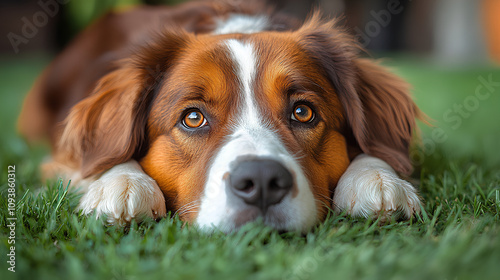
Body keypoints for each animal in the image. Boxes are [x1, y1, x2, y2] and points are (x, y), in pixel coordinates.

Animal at [17, 0, 422, 232]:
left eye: (302, 112)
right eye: (193, 118)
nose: (261, 181)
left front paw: (377, 178)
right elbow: (101, 158)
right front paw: (119, 182)